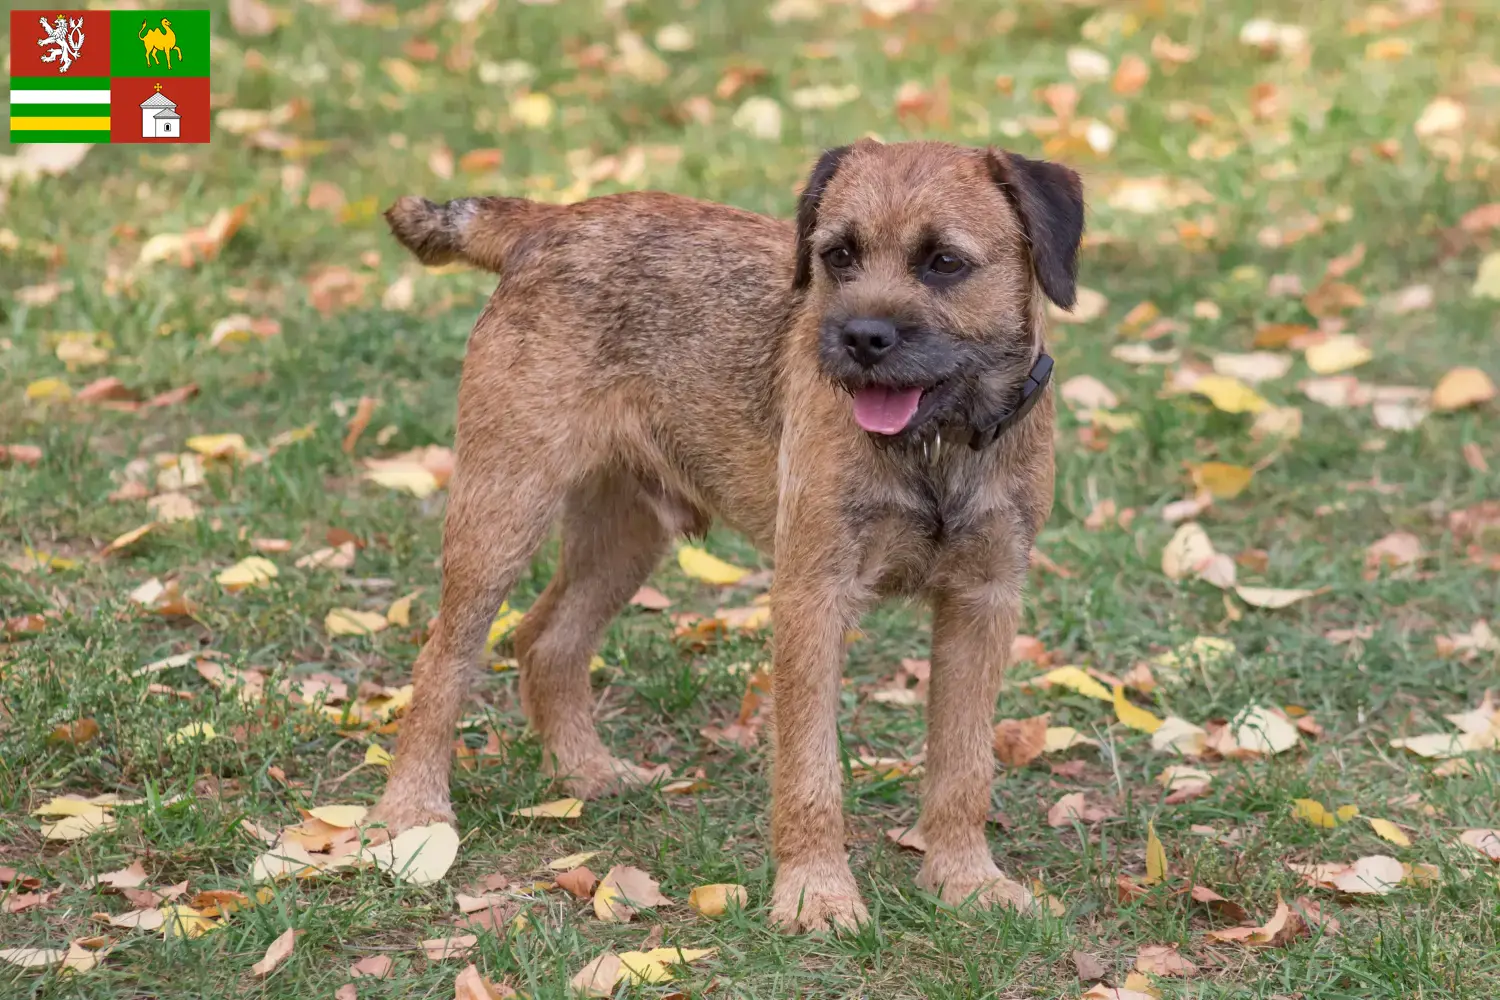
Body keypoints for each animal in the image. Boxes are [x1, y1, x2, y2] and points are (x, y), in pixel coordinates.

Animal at [369, 138, 1086, 929]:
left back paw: (586, 772)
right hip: (502, 508)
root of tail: (550, 220)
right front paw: (815, 896)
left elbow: (964, 763)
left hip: (624, 533)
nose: (860, 338)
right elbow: (810, 768)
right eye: (837, 255)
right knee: (442, 659)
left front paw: (967, 881)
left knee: (546, 639)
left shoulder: (983, 601)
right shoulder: (812, 597)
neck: (939, 446)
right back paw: (411, 815)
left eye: (946, 263)